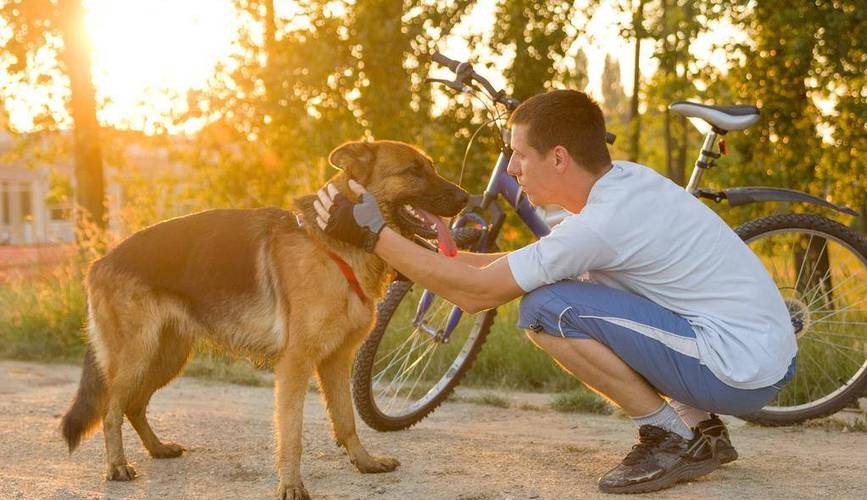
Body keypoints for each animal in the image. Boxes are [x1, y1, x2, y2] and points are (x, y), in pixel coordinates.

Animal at [62, 139, 472, 498]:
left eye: (431, 167)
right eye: (414, 171)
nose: (467, 198)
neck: (335, 245)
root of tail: (100, 260)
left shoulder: (336, 362)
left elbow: (346, 420)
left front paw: (364, 462)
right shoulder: (295, 365)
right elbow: (291, 434)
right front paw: (290, 486)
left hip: (167, 357)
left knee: (134, 405)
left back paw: (158, 448)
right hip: (137, 356)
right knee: (112, 410)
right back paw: (117, 466)